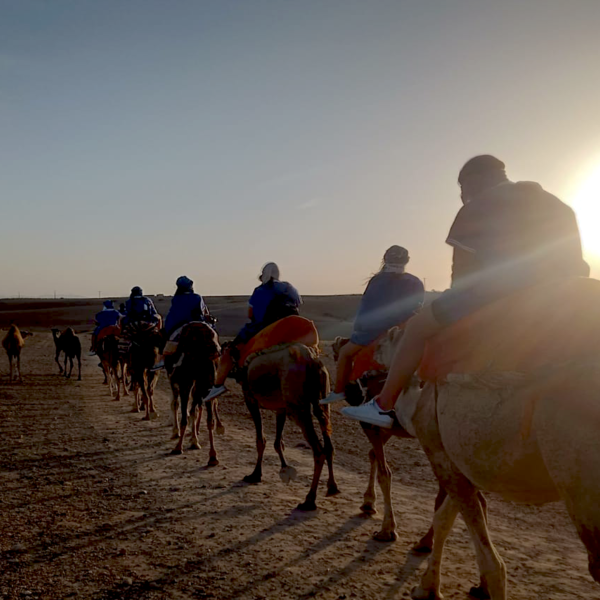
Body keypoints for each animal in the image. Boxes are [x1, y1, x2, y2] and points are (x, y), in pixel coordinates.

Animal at [166, 318, 225, 464]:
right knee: (207, 417)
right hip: (206, 380)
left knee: (186, 410)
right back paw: (212, 455)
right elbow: (193, 410)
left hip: (190, 382)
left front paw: (179, 439)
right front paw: (193, 441)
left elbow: (180, 409)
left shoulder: (181, 382)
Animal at [236, 342, 342, 510]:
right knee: (328, 444)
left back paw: (309, 500)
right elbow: (277, 442)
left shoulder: (249, 397)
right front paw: (285, 468)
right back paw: (332, 487)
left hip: (297, 405)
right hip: (323, 398)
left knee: (319, 451)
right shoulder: (281, 407)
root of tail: (311, 359)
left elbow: (261, 440)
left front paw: (255, 475)